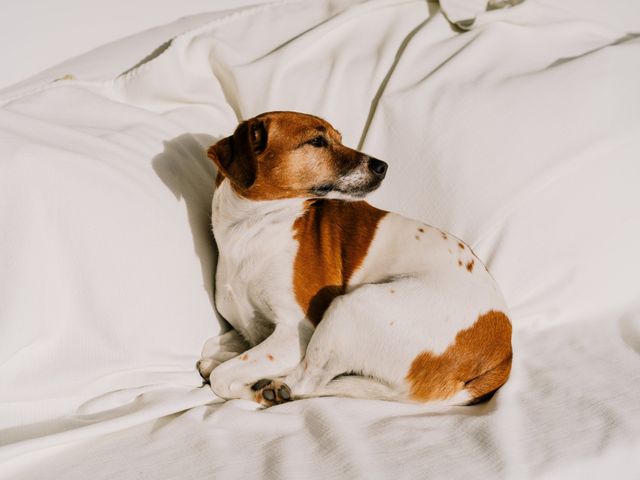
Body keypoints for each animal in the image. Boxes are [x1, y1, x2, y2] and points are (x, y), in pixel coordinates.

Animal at [198, 110, 512, 406]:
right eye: (317, 141)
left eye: (339, 138)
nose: (383, 166)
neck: (249, 231)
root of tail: (505, 353)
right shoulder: (252, 328)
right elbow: (212, 347)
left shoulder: (296, 332)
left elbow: (221, 377)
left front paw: (252, 384)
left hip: (350, 306)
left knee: (305, 383)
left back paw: (271, 388)